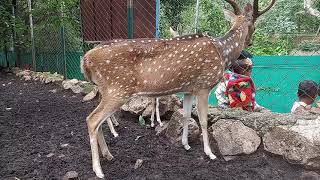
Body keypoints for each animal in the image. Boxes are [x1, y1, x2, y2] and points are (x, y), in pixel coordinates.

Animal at [80, 0, 276, 177]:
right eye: (253, 25)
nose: (249, 42)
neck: (223, 53)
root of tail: (85, 59)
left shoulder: (189, 89)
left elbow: (187, 115)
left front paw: (186, 144)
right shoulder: (204, 86)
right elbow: (203, 120)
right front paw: (210, 153)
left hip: (107, 90)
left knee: (96, 119)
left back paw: (108, 155)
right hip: (118, 89)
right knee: (92, 120)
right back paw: (98, 170)